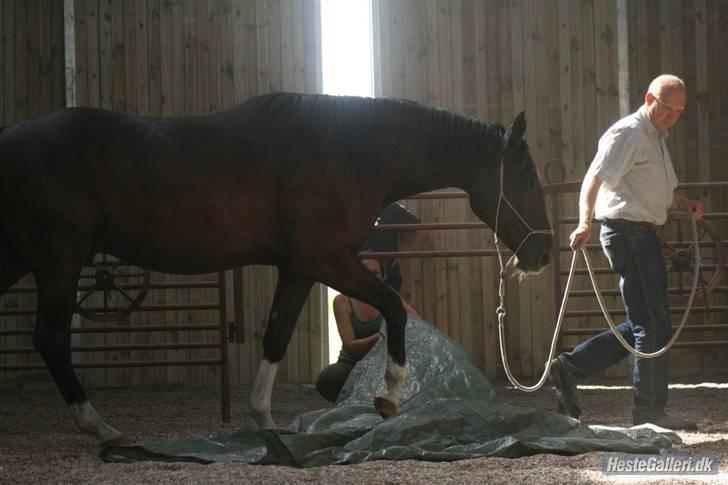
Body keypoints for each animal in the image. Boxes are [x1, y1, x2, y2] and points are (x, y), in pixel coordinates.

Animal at [0, 91, 552, 442]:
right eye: (526, 177)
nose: (544, 254)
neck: (345, 151)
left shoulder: (299, 268)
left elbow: (275, 336)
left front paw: (266, 424)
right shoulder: (326, 259)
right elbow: (394, 307)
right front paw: (389, 397)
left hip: (26, 258)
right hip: (59, 258)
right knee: (50, 338)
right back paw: (100, 426)